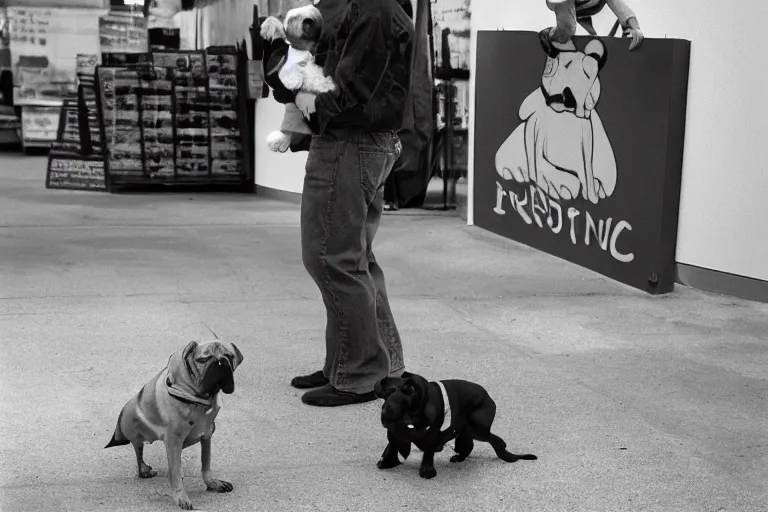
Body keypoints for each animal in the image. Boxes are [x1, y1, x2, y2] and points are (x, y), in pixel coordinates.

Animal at [372, 370, 536, 478]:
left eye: (408, 391)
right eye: (388, 392)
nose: (387, 410)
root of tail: (487, 396)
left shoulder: (432, 434)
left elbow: (428, 451)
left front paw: (427, 470)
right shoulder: (395, 432)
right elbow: (392, 445)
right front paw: (386, 461)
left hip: (478, 429)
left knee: (493, 439)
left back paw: (505, 453)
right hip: (467, 429)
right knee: (468, 444)